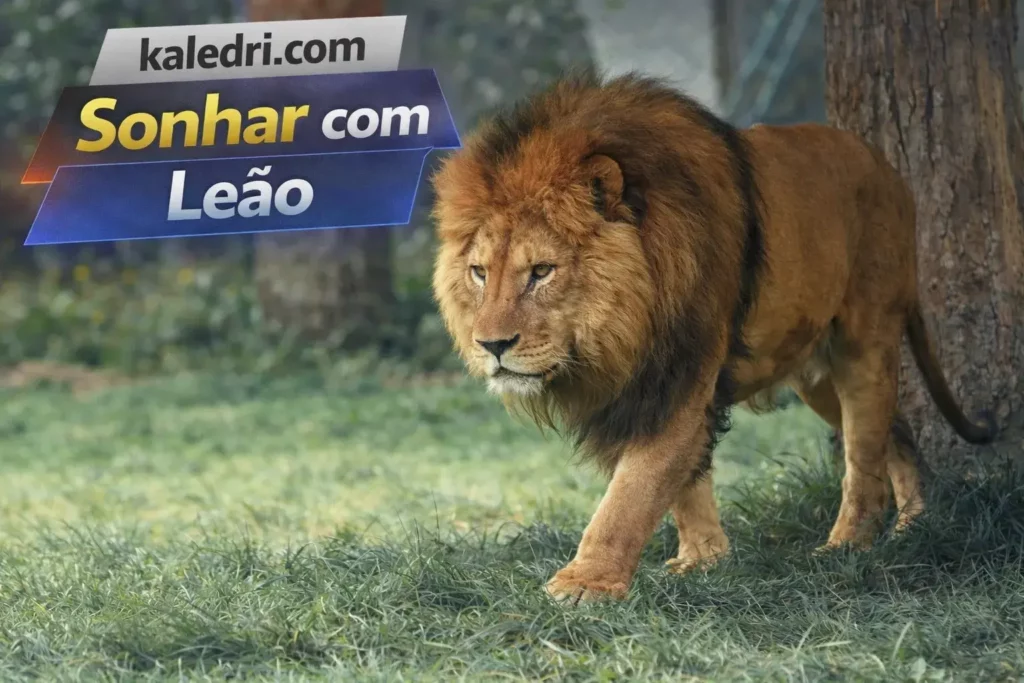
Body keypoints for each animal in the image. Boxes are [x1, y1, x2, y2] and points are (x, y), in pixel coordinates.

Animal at [430, 71, 997, 603]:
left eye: (542, 271)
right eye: (480, 273)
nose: (491, 346)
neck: (626, 329)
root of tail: (889, 170)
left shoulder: (682, 372)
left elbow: (632, 492)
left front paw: (584, 585)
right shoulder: (654, 388)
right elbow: (684, 486)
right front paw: (704, 561)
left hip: (866, 338)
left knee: (863, 451)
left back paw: (849, 545)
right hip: (815, 375)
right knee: (892, 432)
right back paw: (914, 523)